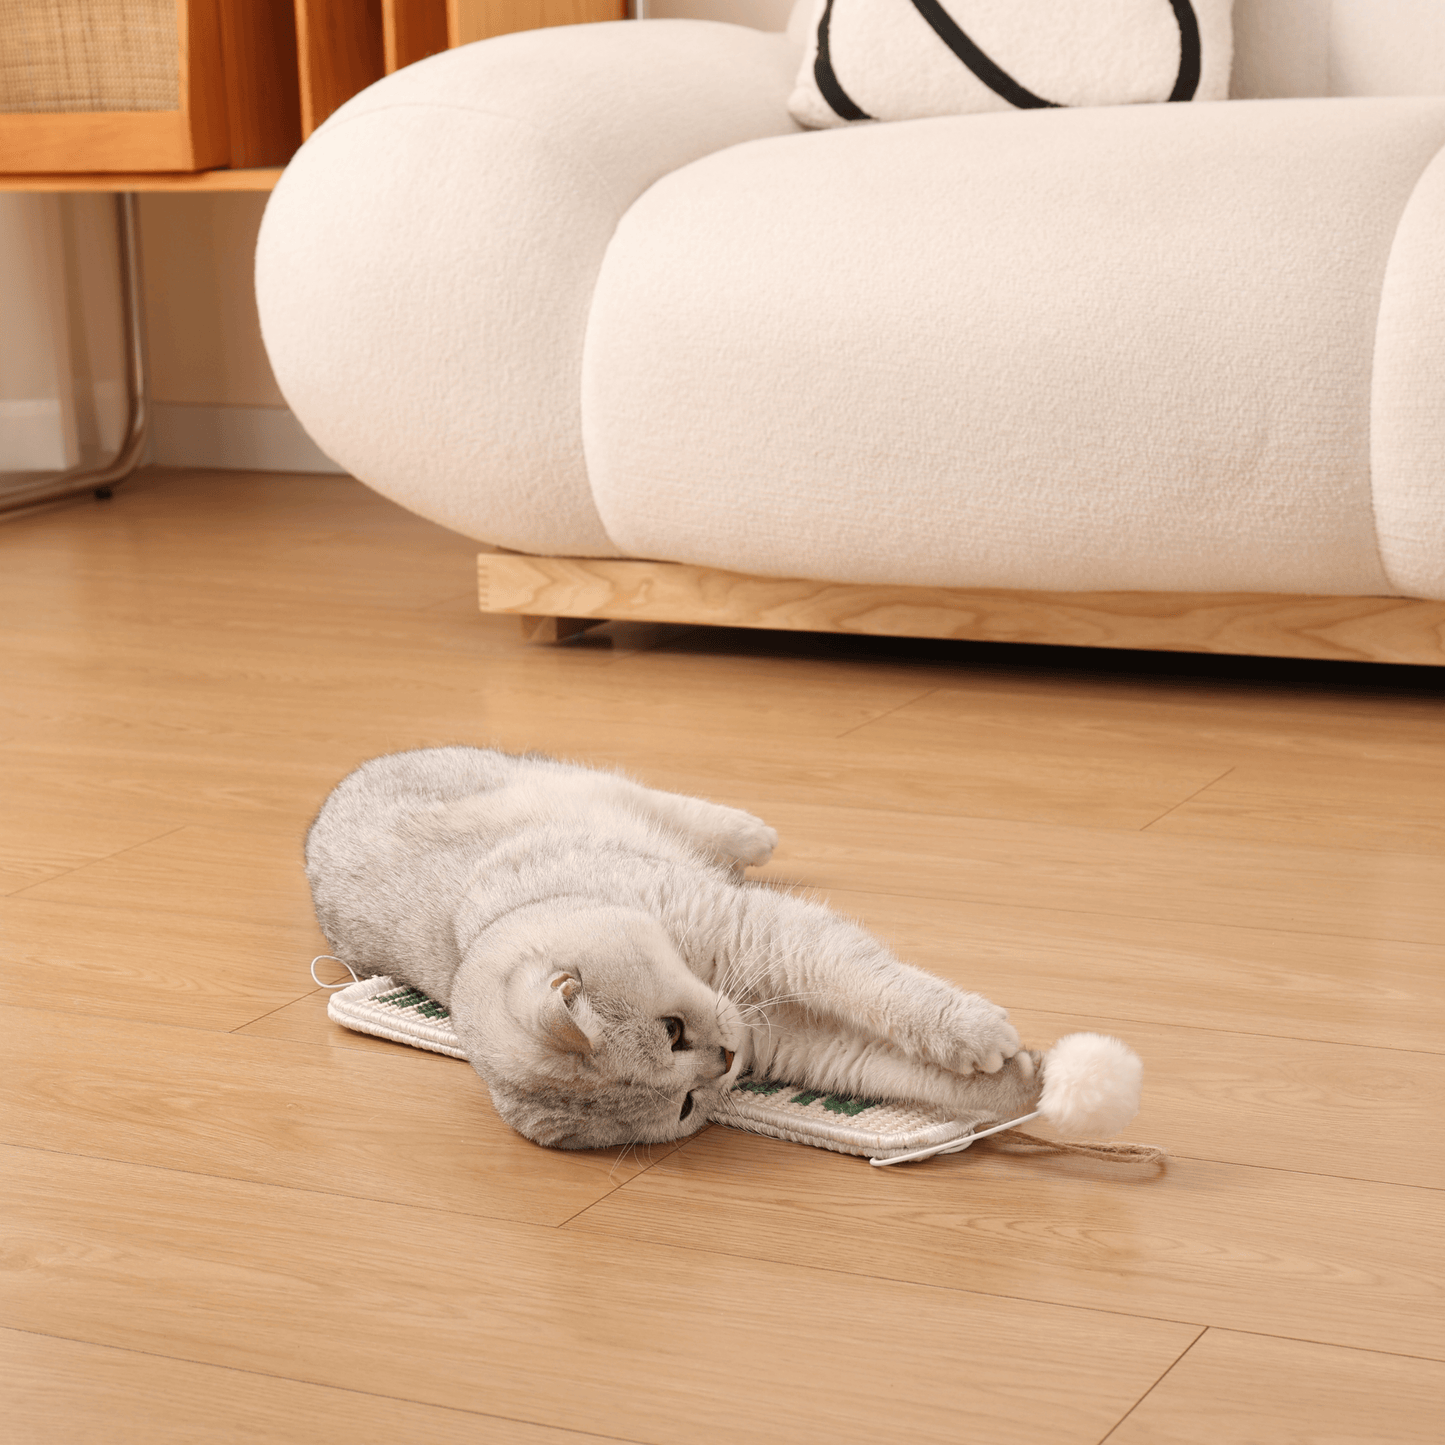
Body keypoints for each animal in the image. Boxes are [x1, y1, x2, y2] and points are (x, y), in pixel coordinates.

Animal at [304, 751, 1051, 1144]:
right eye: (686, 1106)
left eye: (669, 1030)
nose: (724, 1061)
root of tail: (333, 794)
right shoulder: (799, 1041)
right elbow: (896, 1070)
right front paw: (1020, 1081)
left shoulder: (770, 935)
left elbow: (883, 990)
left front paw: (972, 1031)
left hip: (581, 784)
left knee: (672, 804)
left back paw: (750, 833)